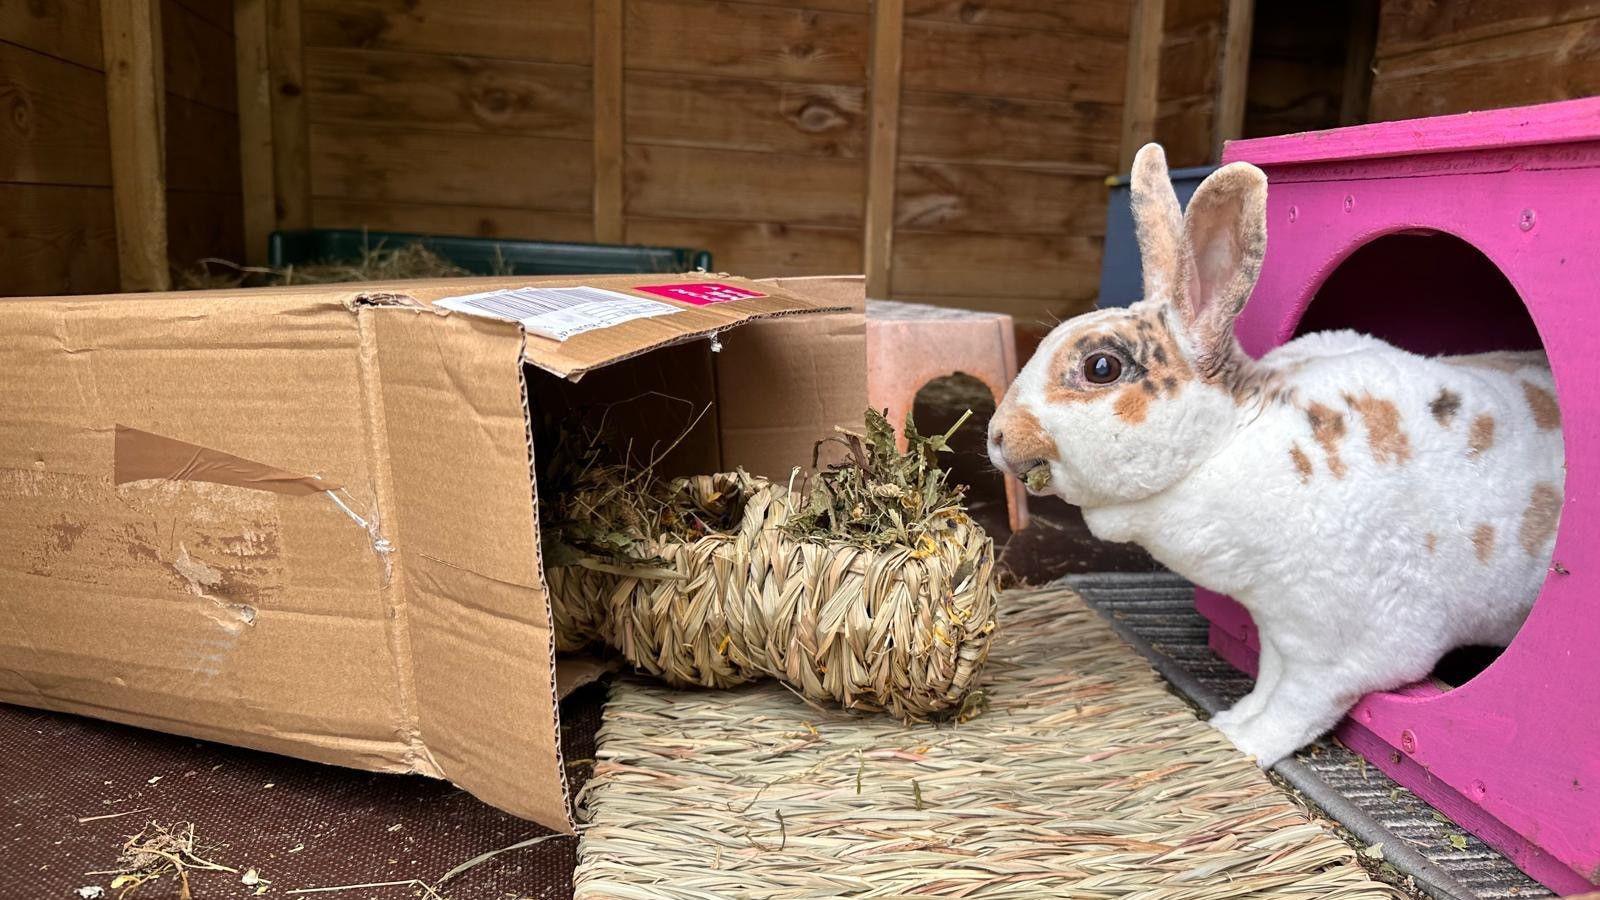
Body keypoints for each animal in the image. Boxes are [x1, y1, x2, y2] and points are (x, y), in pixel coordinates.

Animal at [985, 143, 1561, 759]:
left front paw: (1243, 743)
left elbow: (1296, 706)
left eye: (1101, 367)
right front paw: (1233, 720)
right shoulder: (1278, 630)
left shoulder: (1339, 649)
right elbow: (1268, 682)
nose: (997, 435)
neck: (1228, 440)